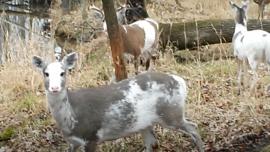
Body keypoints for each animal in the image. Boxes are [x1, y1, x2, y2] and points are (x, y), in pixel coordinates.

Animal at [32, 52, 204, 152]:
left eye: (63, 73)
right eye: (46, 73)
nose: (54, 88)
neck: (71, 117)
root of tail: (180, 81)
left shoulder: (92, 137)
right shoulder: (73, 142)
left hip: (171, 113)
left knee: (193, 127)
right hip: (145, 122)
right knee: (152, 143)